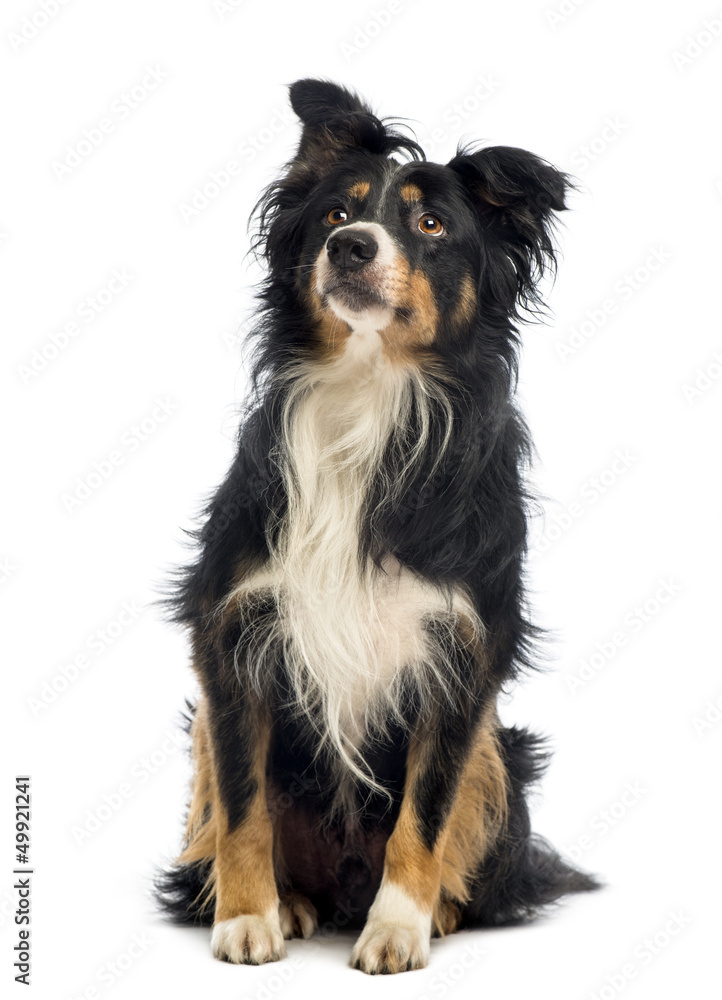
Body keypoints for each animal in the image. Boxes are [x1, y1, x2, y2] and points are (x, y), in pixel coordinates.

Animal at [156, 80, 596, 976]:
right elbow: (245, 804)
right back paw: (290, 903)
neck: (367, 393)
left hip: (500, 753)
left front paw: (398, 928)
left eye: (430, 225)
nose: (352, 246)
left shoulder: (462, 658)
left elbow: (425, 813)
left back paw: (438, 912)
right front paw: (245, 919)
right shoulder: (230, 634)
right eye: (336, 214)